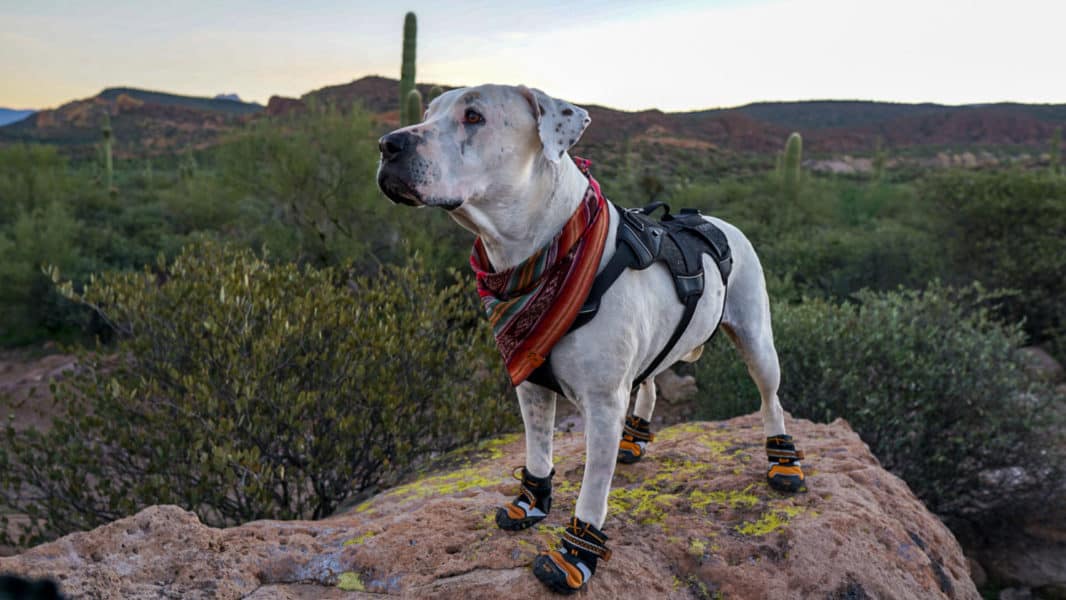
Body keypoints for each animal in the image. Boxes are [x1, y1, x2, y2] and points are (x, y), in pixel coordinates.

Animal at [379, 85, 801, 596]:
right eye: (427, 113)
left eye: (474, 116)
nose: (387, 145)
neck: (542, 259)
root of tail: (720, 222)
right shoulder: (530, 384)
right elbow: (538, 451)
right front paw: (532, 502)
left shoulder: (601, 404)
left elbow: (593, 491)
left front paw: (575, 554)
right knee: (651, 383)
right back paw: (634, 438)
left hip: (757, 341)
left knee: (771, 398)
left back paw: (784, 460)